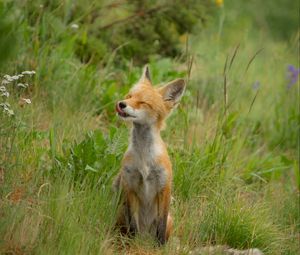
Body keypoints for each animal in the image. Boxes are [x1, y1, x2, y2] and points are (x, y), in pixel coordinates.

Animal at [111, 65, 184, 245]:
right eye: (129, 96)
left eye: (143, 102)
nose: (121, 104)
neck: (144, 157)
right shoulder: (130, 185)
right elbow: (133, 226)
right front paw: (133, 245)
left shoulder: (164, 187)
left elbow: (161, 228)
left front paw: (160, 247)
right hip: (120, 214)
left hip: (170, 220)